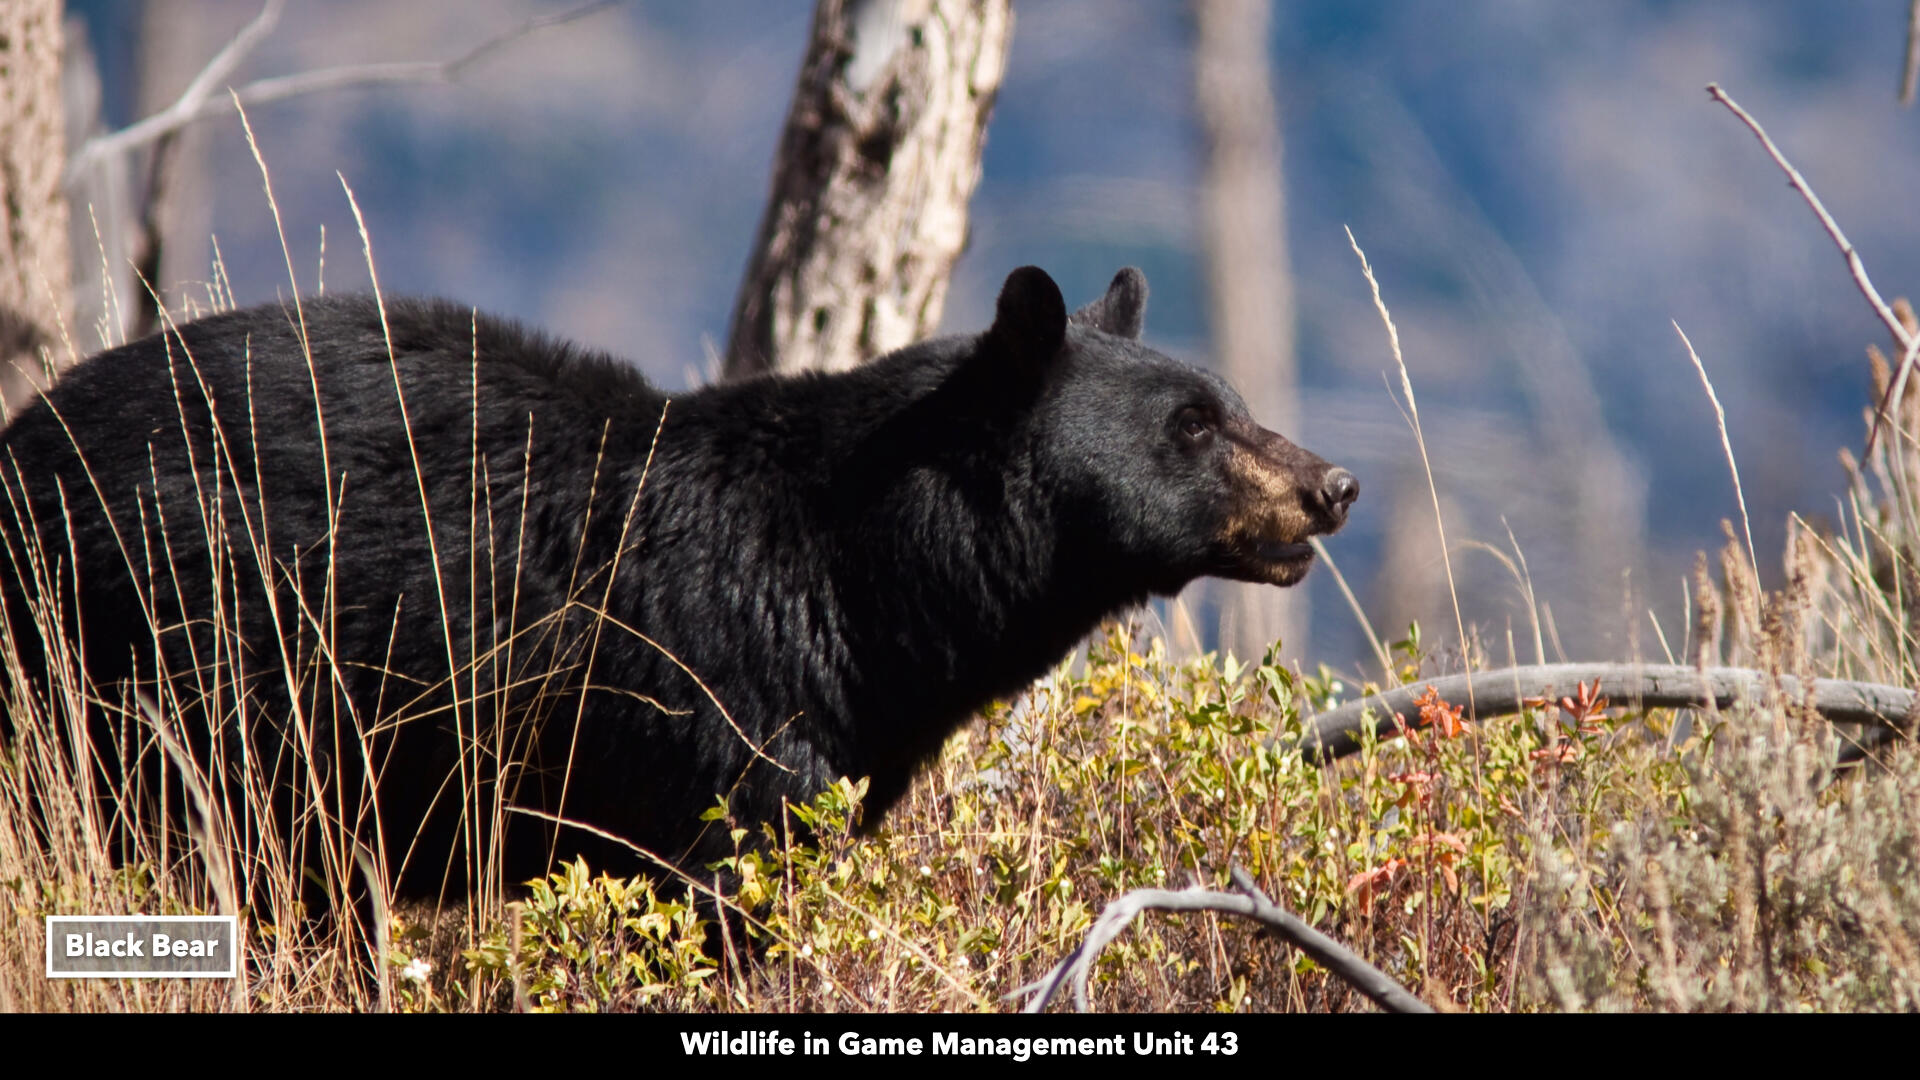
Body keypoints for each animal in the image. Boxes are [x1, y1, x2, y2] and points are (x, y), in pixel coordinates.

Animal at [0, 265, 1359, 895]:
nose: (1332, 486)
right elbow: (726, 878)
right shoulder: (708, 706)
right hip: (147, 665)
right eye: (1192, 427)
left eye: (1230, 400)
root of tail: (23, 439)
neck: (858, 585)